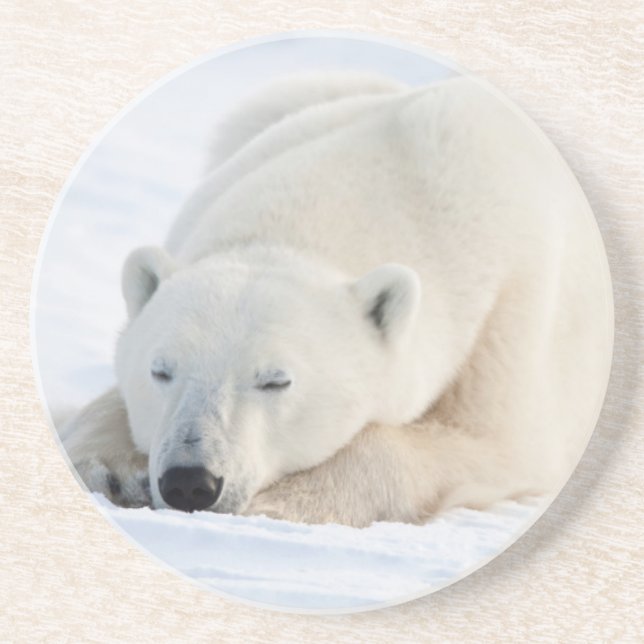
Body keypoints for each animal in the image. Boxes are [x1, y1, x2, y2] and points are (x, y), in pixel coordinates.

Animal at [61, 72, 613, 527]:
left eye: (276, 380)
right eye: (161, 371)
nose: (190, 481)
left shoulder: (511, 310)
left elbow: (496, 444)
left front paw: (283, 500)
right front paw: (109, 468)